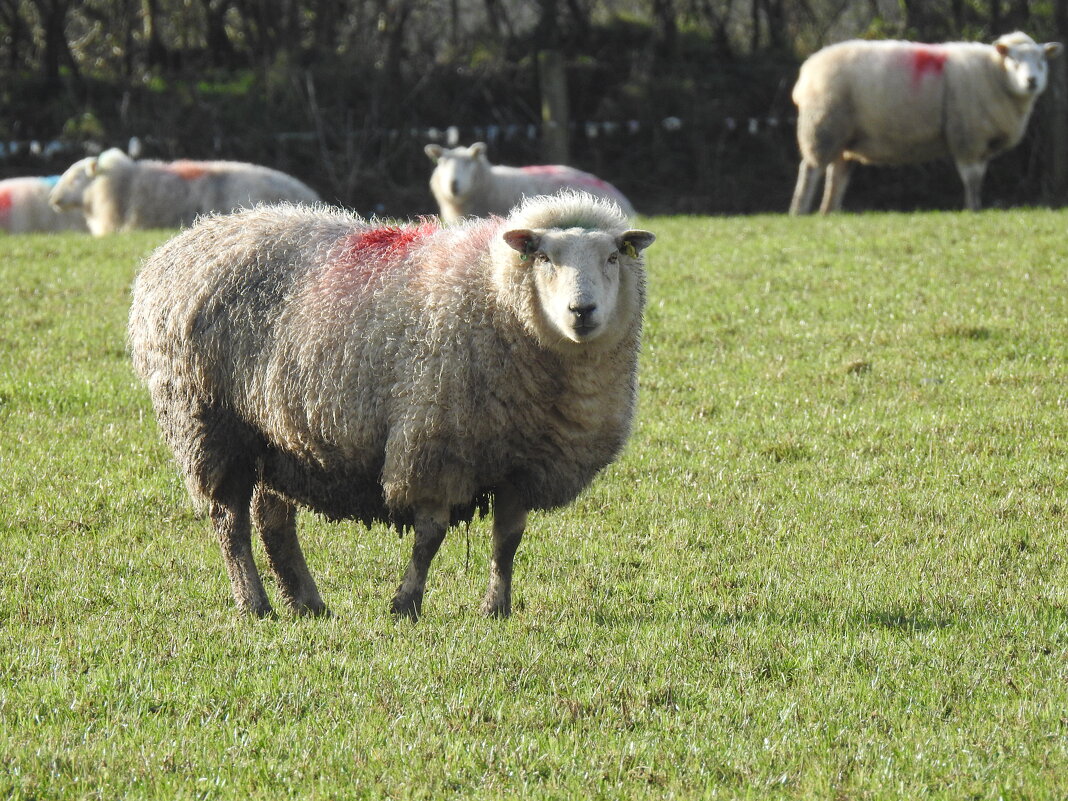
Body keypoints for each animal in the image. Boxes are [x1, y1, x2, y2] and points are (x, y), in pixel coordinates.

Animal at [129, 191, 653, 619]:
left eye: (612, 257)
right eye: (544, 257)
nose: (582, 311)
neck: (495, 294)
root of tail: (177, 249)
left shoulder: (522, 464)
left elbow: (508, 541)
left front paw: (496, 608)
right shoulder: (435, 446)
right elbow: (430, 538)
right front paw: (406, 604)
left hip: (276, 434)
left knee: (272, 519)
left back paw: (306, 602)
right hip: (208, 422)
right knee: (230, 522)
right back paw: (255, 605)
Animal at [790, 31, 1063, 214]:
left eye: (1042, 61)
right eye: (1014, 61)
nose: (1031, 81)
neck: (993, 73)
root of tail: (808, 69)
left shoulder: (980, 142)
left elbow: (979, 177)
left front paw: (976, 206)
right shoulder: (967, 136)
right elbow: (971, 178)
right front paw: (972, 209)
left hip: (844, 135)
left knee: (837, 174)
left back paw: (829, 212)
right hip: (823, 126)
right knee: (811, 169)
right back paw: (800, 211)